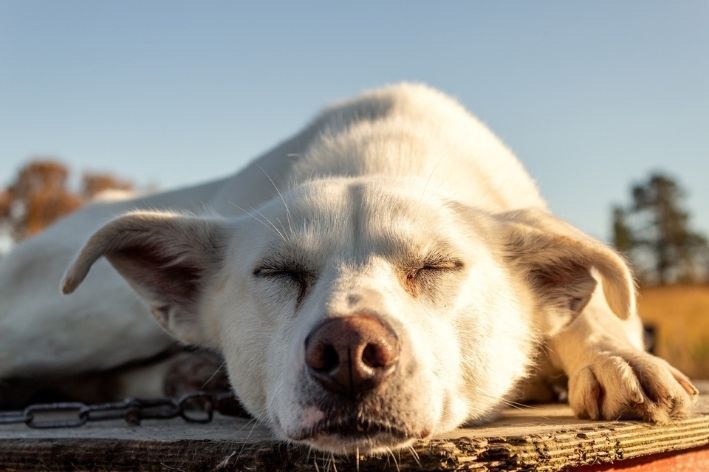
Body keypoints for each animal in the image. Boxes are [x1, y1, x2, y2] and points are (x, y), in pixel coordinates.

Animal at [0, 84, 696, 454]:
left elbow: (597, 308)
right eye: (277, 273)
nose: (348, 351)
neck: (387, 153)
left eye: (439, 266)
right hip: (83, 319)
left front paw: (618, 357)